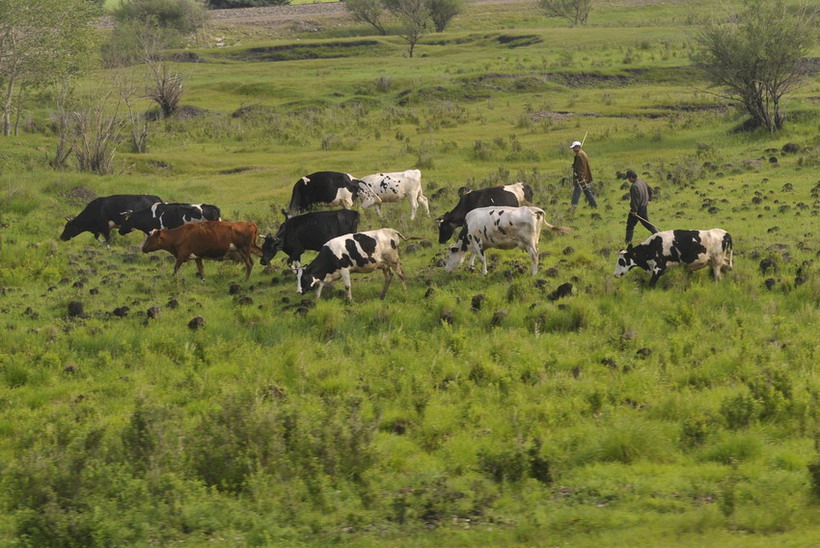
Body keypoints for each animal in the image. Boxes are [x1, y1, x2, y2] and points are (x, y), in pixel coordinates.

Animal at [442, 206, 572, 276]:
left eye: (448, 255)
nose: (446, 270)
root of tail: (533, 209)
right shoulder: (479, 244)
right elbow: (473, 256)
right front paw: (471, 267)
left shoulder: (477, 241)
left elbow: (482, 258)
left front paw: (484, 272)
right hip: (535, 241)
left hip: (529, 243)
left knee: (535, 256)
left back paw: (534, 274)